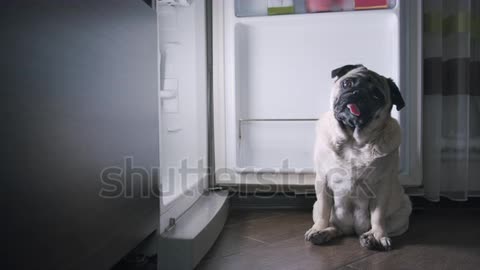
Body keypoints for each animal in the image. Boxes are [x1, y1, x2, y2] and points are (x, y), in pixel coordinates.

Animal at [306, 63, 410, 251]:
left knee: (385, 224)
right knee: (335, 226)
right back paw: (323, 232)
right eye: (347, 83)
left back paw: (371, 236)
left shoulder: (382, 186)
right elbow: (325, 210)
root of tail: (352, 230)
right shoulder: (322, 182)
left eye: (377, 96)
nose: (358, 93)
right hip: (315, 208)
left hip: (403, 212)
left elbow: (378, 215)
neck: (353, 140)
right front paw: (319, 228)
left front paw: (378, 236)